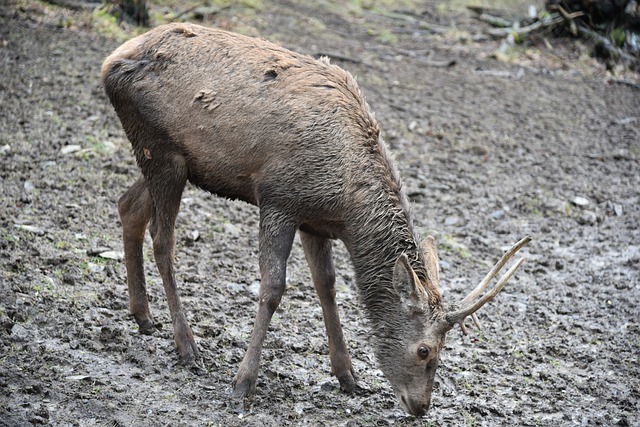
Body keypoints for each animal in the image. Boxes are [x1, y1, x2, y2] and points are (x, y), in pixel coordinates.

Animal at [101, 23, 528, 418]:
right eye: (425, 350)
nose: (421, 406)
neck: (348, 207)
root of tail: (110, 62)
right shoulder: (278, 199)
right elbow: (273, 288)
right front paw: (243, 383)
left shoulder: (315, 221)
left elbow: (327, 285)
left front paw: (349, 377)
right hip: (161, 149)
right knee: (163, 239)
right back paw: (187, 346)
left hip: (174, 161)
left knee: (128, 205)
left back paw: (143, 316)